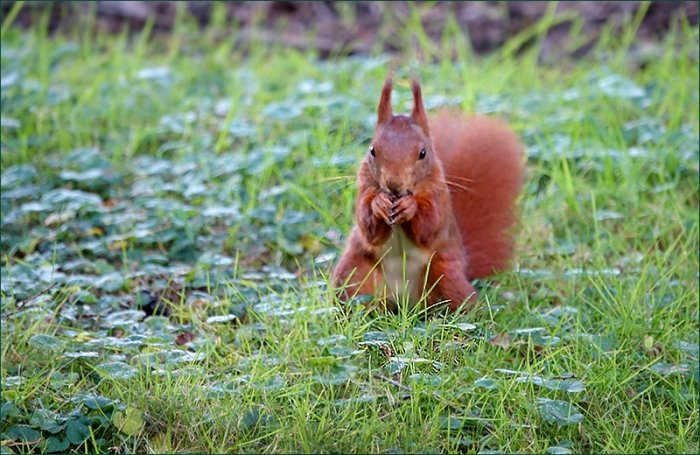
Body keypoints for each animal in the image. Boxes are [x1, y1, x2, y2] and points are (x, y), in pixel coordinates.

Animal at [332, 77, 524, 313]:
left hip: (446, 275)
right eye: (372, 150)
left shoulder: (438, 195)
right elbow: (367, 227)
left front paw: (410, 208)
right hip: (354, 274)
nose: (393, 184)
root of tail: (405, 303)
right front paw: (379, 205)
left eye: (423, 153)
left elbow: (430, 225)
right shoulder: (365, 189)